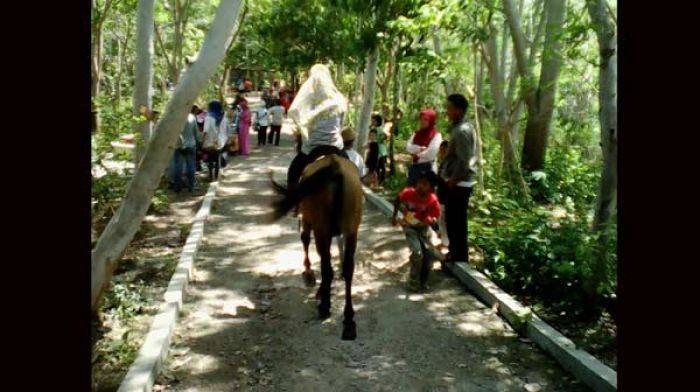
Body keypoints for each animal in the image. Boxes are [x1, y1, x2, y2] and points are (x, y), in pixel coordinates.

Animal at [268, 153, 364, 340]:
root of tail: (335, 166)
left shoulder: (306, 219)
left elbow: (305, 239)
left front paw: (309, 274)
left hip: (321, 228)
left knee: (326, 267)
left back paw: (324, 306)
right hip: (351, 228)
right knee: (348, 269)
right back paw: (348, 320)